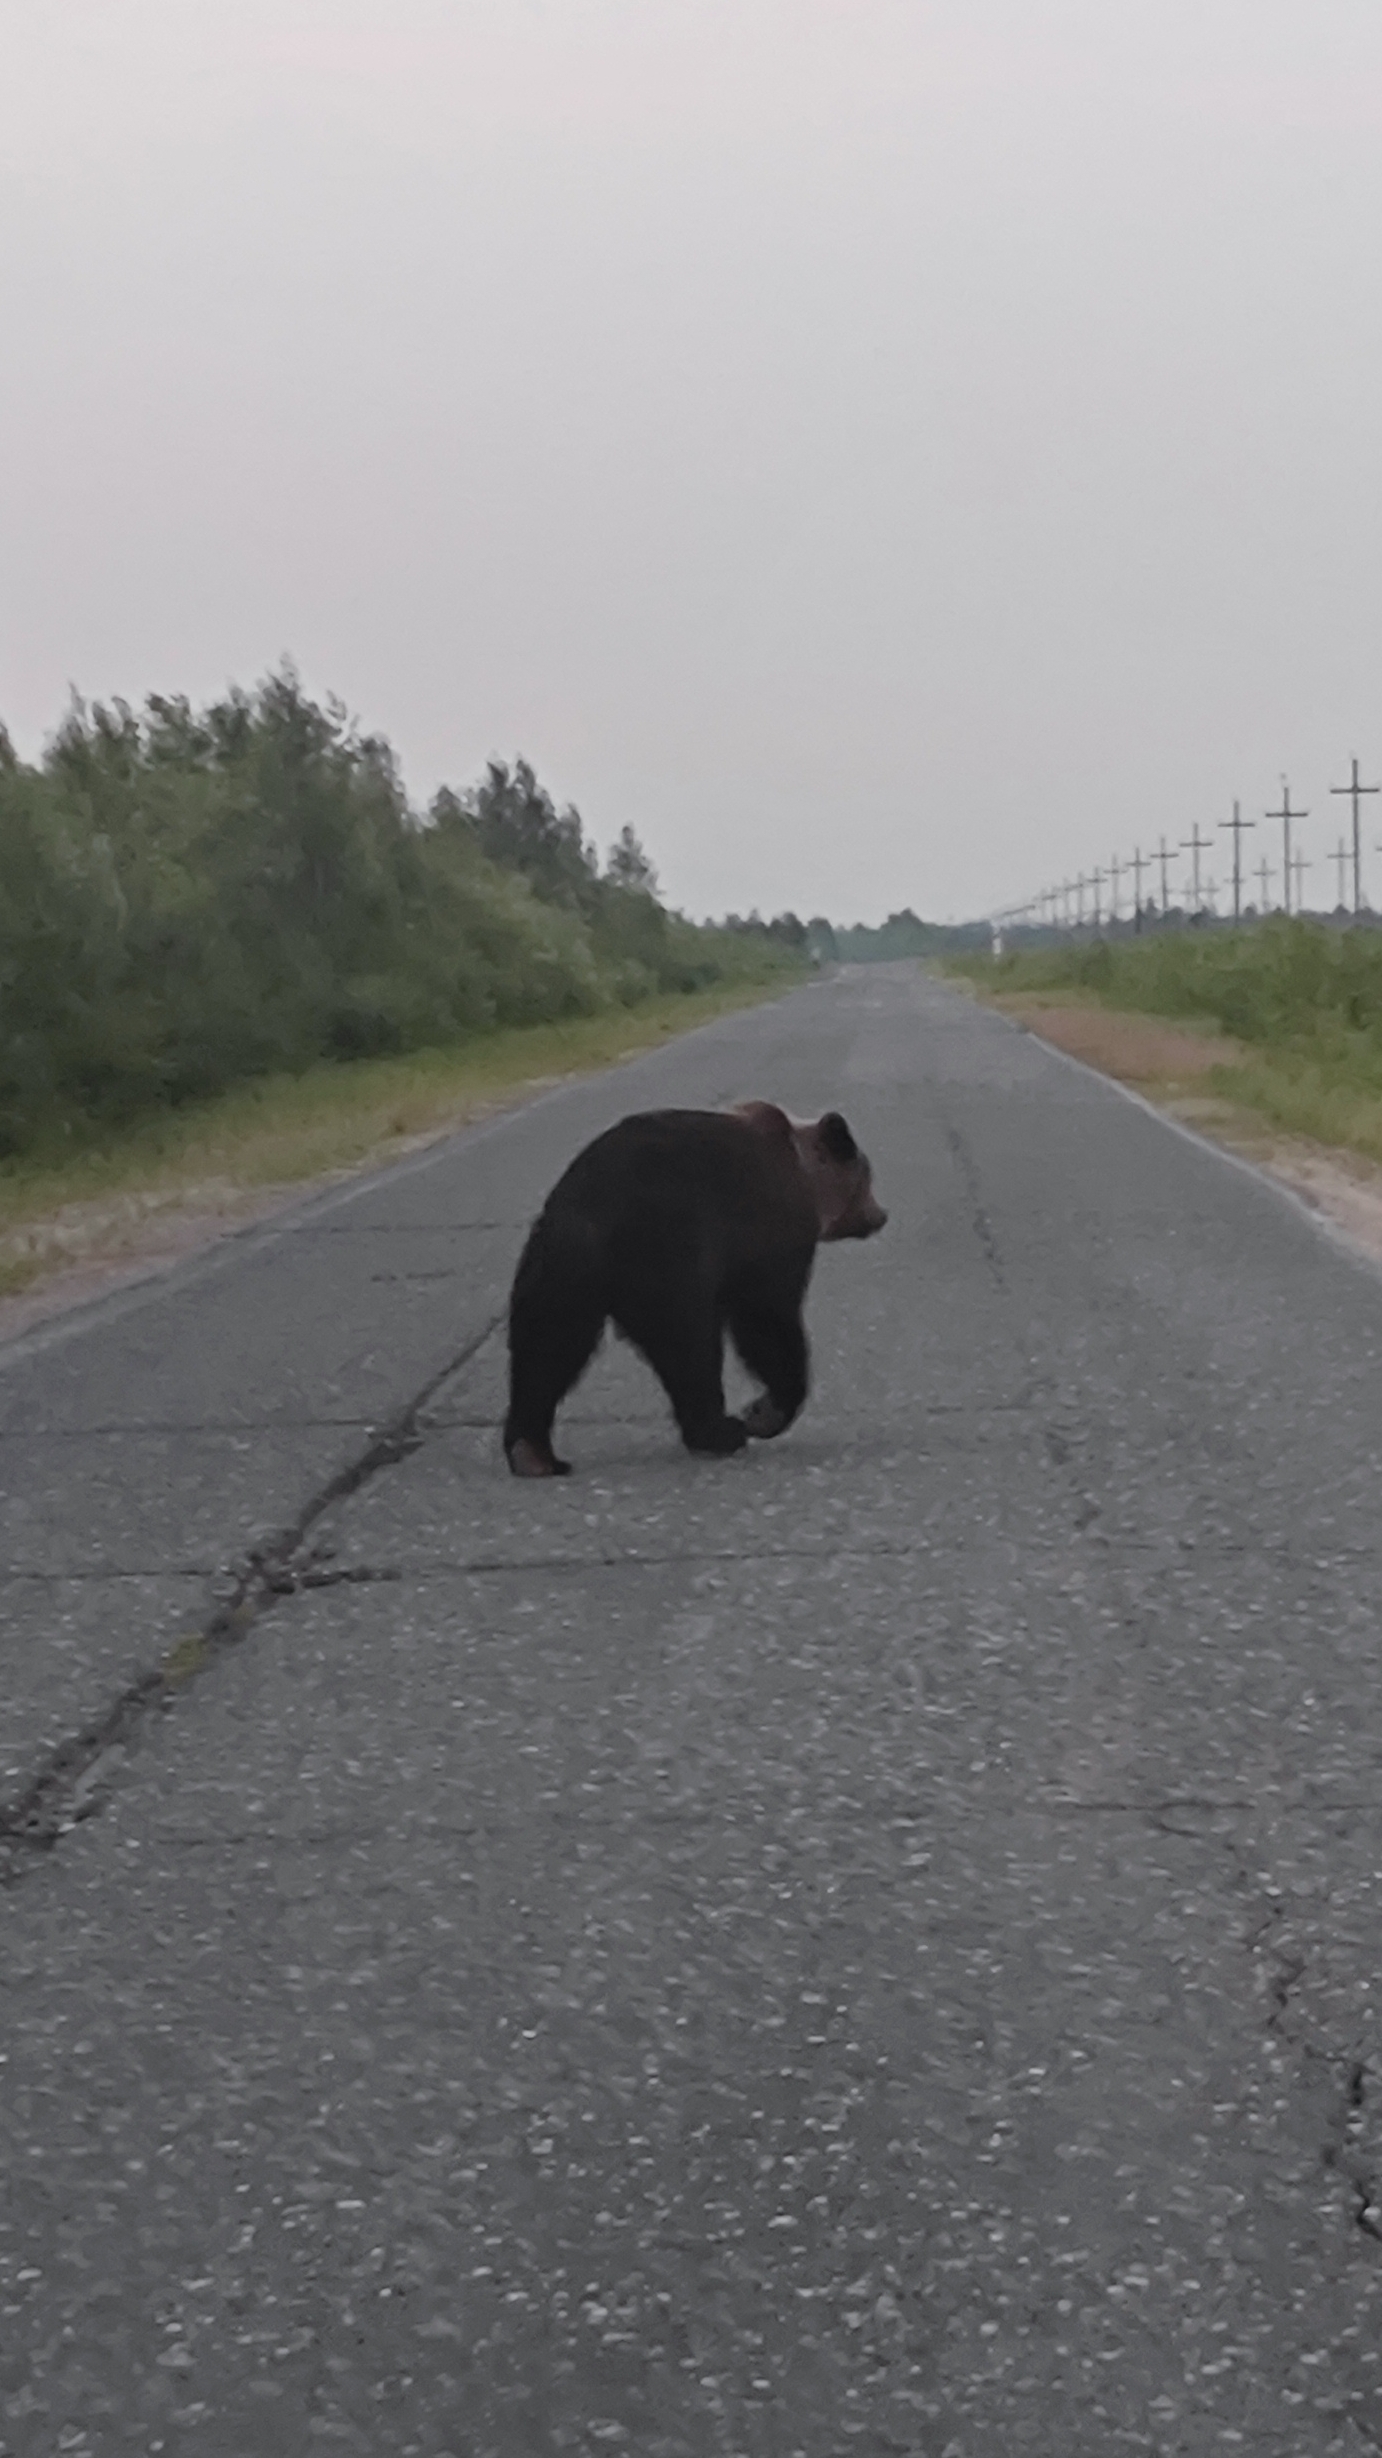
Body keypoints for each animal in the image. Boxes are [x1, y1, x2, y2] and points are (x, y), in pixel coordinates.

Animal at [503, 1102, 887, 1476]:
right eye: (867, 1175)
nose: (880, 1214)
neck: (806, 1177)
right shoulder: (768, 1231)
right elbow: (767, 1319)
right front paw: (763, 1413)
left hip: (560, 1271)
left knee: (547, 1347)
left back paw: (532, 1453)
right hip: (666, 1254)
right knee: (690, 1345)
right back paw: (720, 1432)